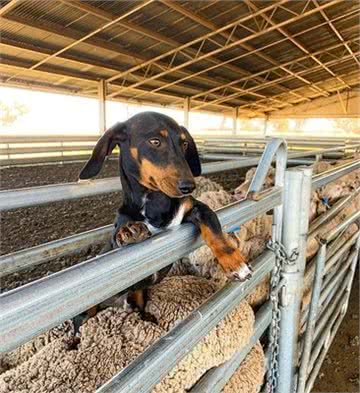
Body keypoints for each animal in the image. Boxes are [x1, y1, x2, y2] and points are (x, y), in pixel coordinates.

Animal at [80, 111, 252, 310]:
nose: (189, 186)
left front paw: (236, 263)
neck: (155, 204)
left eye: (184, 144)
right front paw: (129, 232)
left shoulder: (197, 208)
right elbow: (119, 239)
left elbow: (215, 230)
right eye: (155, 141)